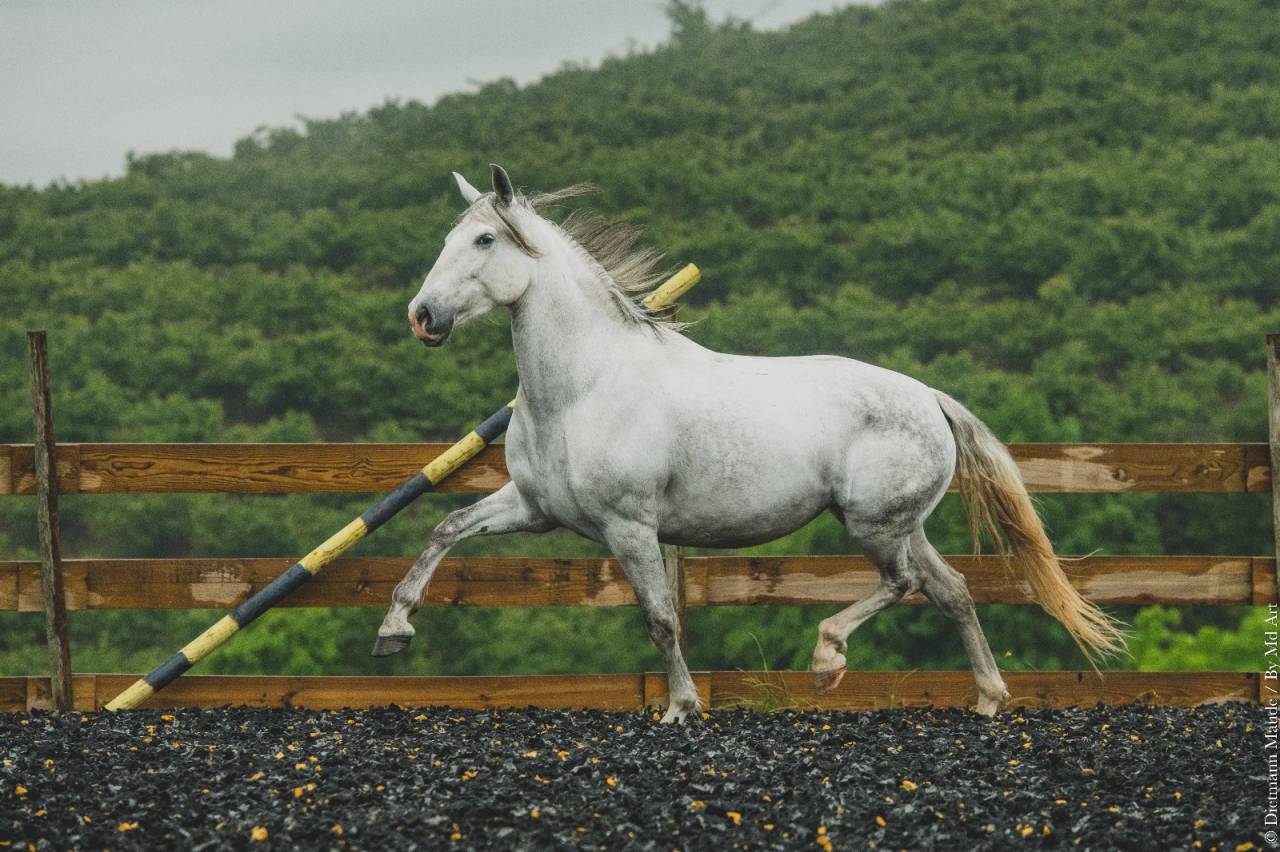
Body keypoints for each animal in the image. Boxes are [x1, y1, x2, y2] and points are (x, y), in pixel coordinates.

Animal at [373, 164, 1125, 722]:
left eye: (483, 242)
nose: (422, 316)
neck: (584, 386)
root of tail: (932, 399)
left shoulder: (629, 526)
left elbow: (661, 620)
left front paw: (681, 708)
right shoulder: (534, 508)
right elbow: (446, 528)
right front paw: (394, 630)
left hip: (873, 524)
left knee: (905, 584)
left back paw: (828, 663)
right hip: (900, 524)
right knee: (954, 591)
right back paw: (989, 699)